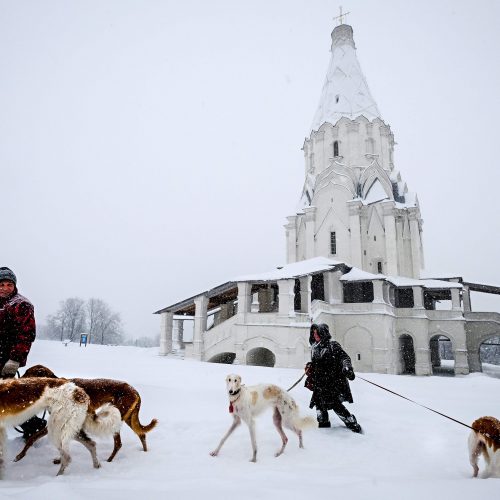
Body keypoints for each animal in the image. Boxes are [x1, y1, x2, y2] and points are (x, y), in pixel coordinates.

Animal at [16, 366, 156, 462]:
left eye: (28, 373)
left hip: (116, 419)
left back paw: (109, 461)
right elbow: (36, 438)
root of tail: (135, 391)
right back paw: (144, 453)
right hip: (128, 419)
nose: (16, 380)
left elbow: (35, 438)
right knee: (142, 434)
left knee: (119, 443)